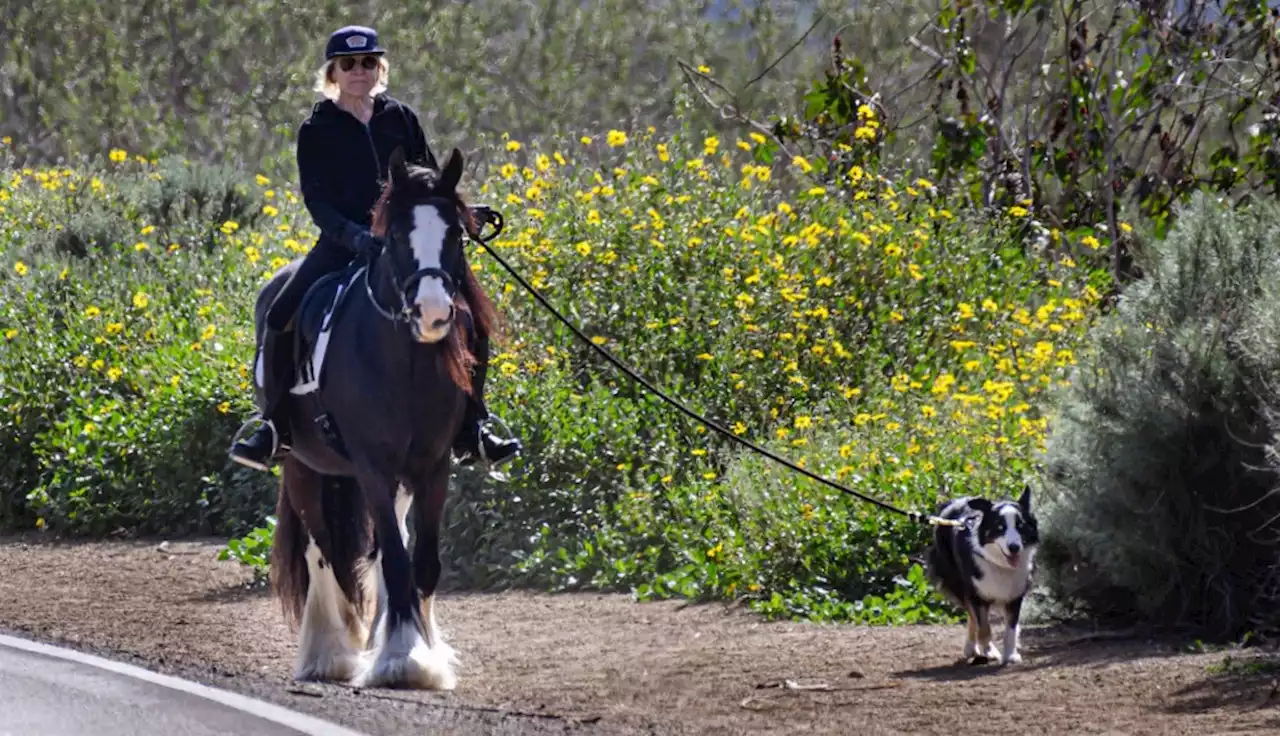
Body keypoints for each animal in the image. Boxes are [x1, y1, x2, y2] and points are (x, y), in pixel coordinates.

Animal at [250, 145, 499, 691]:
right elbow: (393, 561)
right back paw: (331, 652)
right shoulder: (371, 466)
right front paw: (402, 660)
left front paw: (420, 651)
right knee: (323, 551)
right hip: (304, 467)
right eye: (397, 237)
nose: (434, 313)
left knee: (383, 549)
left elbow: (419, 562)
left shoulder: (431, 466)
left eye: (455, 234)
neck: (404, 361)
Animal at [931, 486, 1039, 665]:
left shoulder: (1015, 596)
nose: (1014, 547)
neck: (1000, 565)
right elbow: (983, 626)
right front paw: (990, 651)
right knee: (972, 617)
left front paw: (1010, 655)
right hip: (958, 582)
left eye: (1020, 525)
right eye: (1000, 527)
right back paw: (971, 648)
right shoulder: (976, 595)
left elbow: (1011, 628)